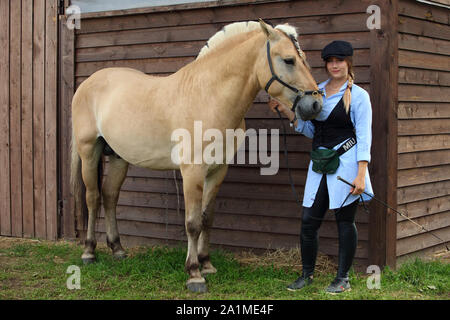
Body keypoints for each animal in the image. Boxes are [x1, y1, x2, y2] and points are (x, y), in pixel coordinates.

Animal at [70, 18, 324, 292]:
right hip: (89, 151)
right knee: (93, 198)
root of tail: (88, 83)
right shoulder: (192, 171)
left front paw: (207, 264)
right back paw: (89, 252)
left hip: (118, 157)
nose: (316, 105)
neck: (208, 97)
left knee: (110, 196)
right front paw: (194, 274)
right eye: (289, 60)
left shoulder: (218, 170)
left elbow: (206, 218)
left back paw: (117, 249)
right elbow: (192, 223)